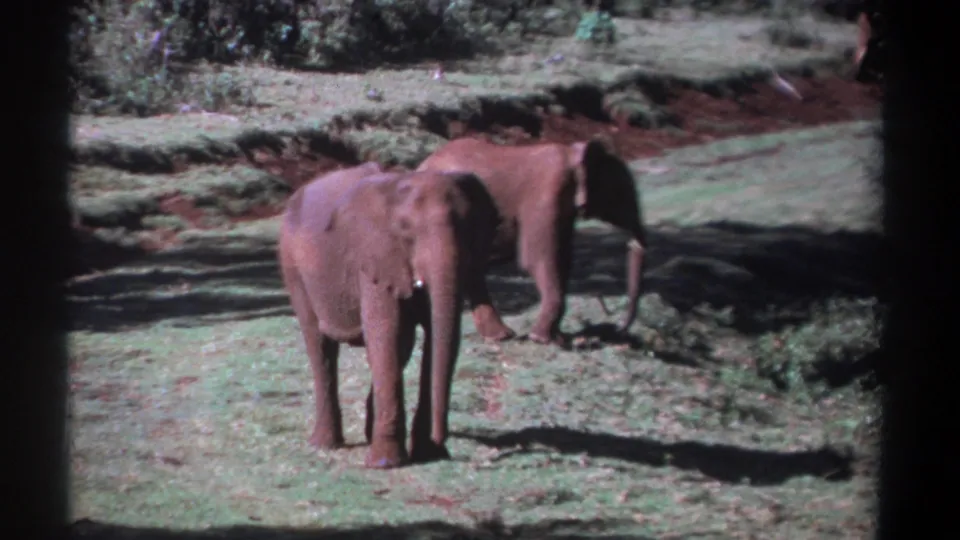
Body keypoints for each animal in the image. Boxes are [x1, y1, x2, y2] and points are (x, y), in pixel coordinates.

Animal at [278, 163, 498, 469]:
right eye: (406, 231)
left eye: (470, 229)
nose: (442, 440)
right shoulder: (375, 258)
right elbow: (388, 333)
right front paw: (385, 464)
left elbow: (427, 336)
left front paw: (427, 454)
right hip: (293, 266)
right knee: (320, 345)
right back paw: (324, 444)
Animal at [416, 136, 647, 346]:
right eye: (620, 193)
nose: (617, 327)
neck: (572, 154)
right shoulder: (546, 192)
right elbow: (538, 258)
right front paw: (541, 339)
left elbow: (563, 259)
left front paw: (558, 338)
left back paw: (500, 336)